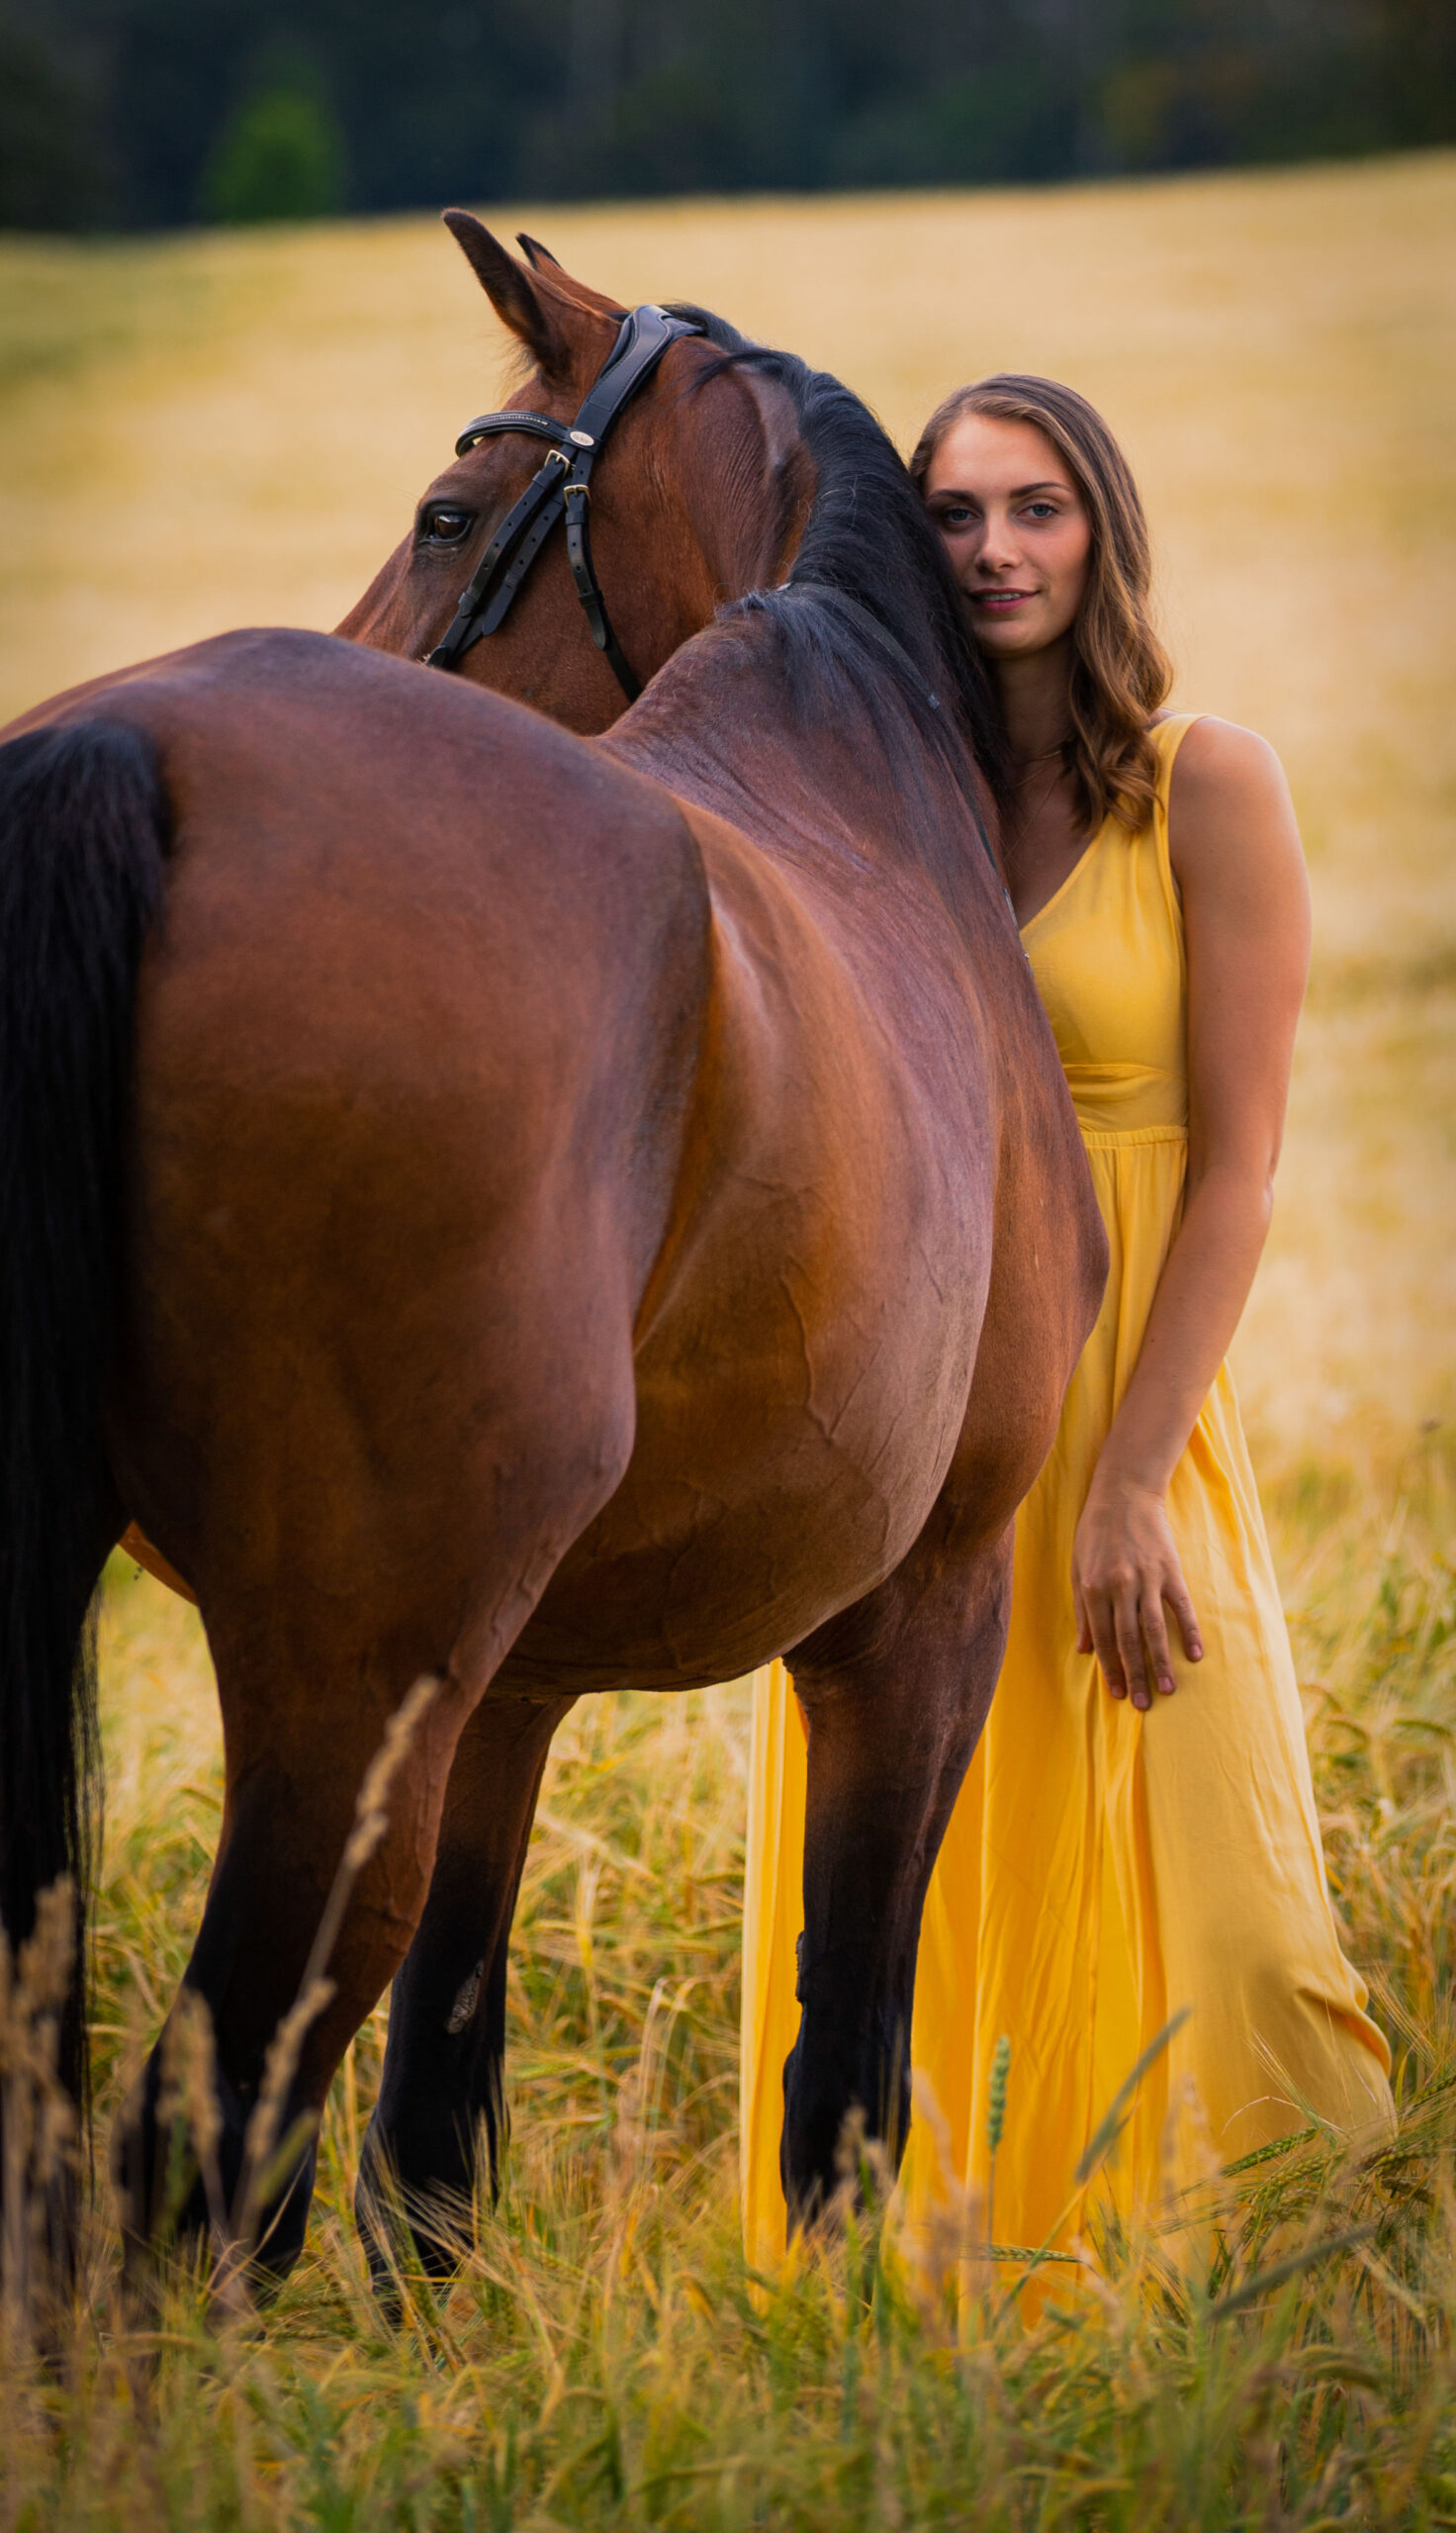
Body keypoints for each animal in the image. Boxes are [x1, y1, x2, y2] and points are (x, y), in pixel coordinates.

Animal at [2, 228, 1104, 2290]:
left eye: (447, 517)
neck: (862, 757)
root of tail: (137, 748)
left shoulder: (507, 1694)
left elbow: (432, 2136)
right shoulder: (922, 1609)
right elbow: (845, 2073)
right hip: (345, 1695)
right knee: (200, 2146)